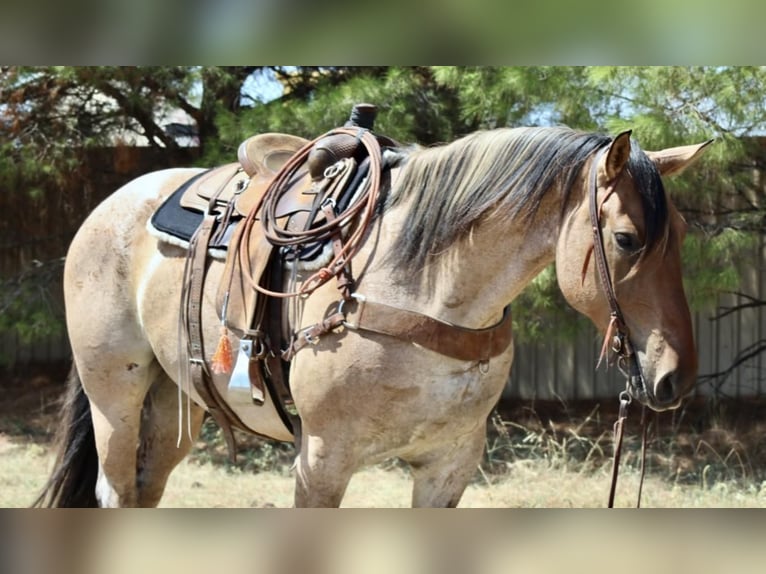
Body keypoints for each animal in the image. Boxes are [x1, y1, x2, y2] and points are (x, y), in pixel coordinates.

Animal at [33, 118, 712, 508]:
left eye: (679, 232)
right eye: (626, 239)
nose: (674, 377)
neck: (424, 289)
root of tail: (110, 206)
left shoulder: (449, 466)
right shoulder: (321, 464)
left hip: (174, 403)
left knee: (147, 487)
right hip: (115, 400)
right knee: (116, 490)